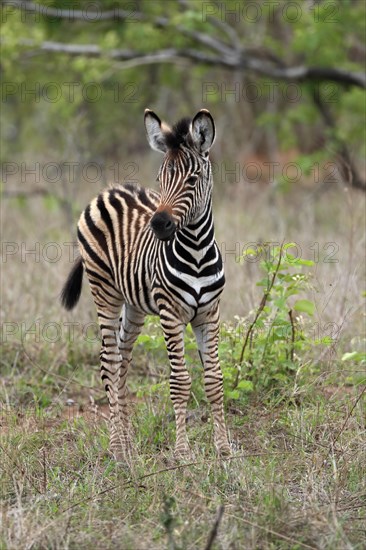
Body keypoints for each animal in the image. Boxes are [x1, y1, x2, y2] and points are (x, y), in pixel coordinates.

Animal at [61, 108, 230, 462]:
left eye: (192, 180)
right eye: (160, 180)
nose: (159, 224)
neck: (196, 251)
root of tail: (108, 190)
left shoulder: (209, 313)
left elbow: (214, 379)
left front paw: (224, 449)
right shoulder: (170, 314)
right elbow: (180, 381)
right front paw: (183, 453)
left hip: (134, 306)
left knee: (123, 361)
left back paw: (128, 445)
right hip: (104, 292)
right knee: (109, 363)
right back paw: (116, 449)